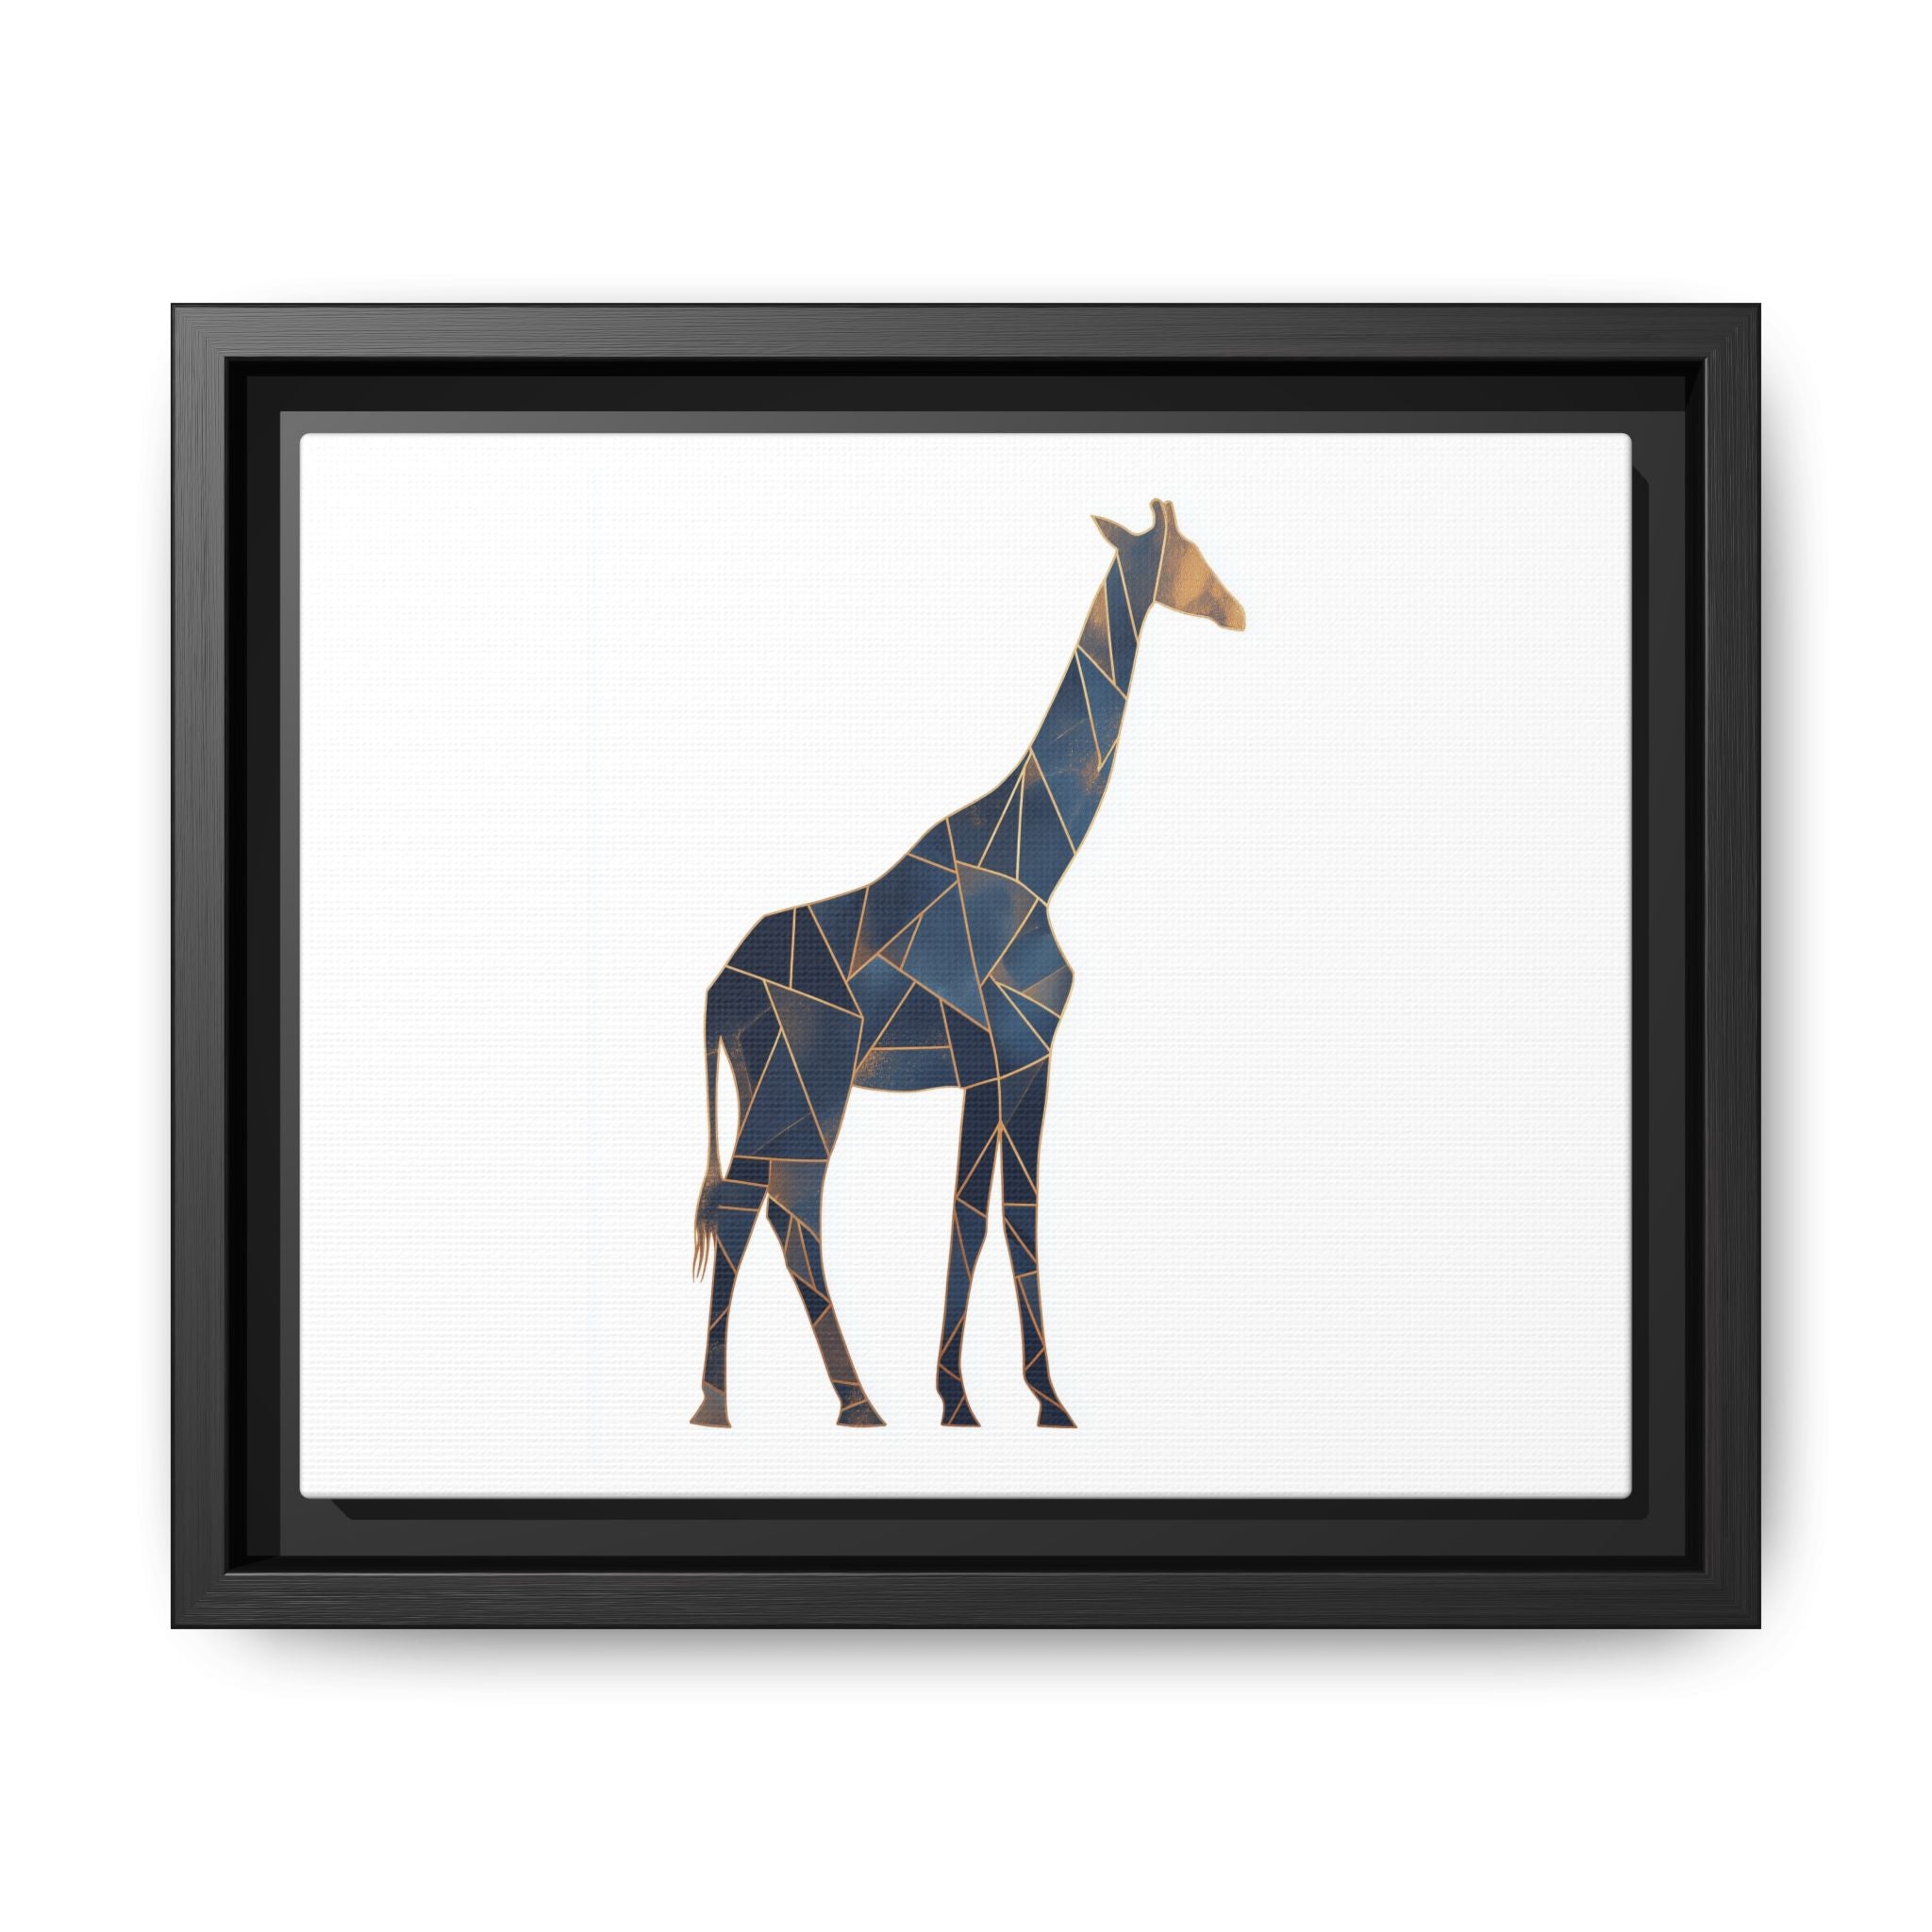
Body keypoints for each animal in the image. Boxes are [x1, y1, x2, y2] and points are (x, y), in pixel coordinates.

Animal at [688, 500, 1246, 1428]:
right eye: (1191, 553)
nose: (1236, 612)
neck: (1040, 861)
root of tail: (719, 990)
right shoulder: (1010, 1054)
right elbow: (991, 1217)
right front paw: (997, 1401)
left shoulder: (1010, 1064)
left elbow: (993, 1215)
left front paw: (1004, 1397)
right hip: (809, 1082)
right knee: (772, 1207)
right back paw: (745, 1405)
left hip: (766, 1084)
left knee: (767, 1207)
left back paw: (833, 1402)